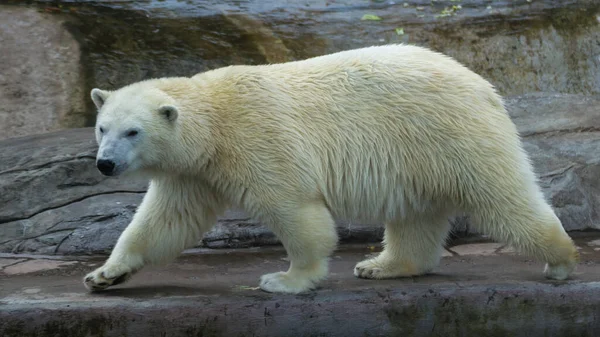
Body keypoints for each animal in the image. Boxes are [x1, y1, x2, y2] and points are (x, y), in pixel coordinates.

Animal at [83, 44, 576, 292]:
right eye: (102, 127)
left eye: (133, 132)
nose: (105, 164)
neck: (215, 120)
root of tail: (483, 85)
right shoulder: (194, 172)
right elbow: (165, 221)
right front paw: (104, 274)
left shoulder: (257, 139)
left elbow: (294, 208)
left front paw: (285, 279)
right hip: (420, 153)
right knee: (415, 215)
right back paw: (382, 265)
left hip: (449, 132)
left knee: (501, 195)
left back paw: (561, 261)